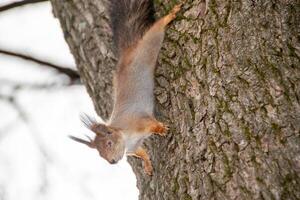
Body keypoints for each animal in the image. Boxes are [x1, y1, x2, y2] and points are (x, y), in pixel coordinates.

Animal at [69, 0, 183, 175]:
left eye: (109, 143)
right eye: (100, 155)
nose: (112, 162)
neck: (126, 137)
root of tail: (127, 52)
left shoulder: (139, 121)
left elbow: (152, 124)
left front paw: (161, 129)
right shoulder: (133, 148)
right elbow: (141, 152)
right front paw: (147, 164)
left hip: (148, 47)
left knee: (156, 30)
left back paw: (170, 16)